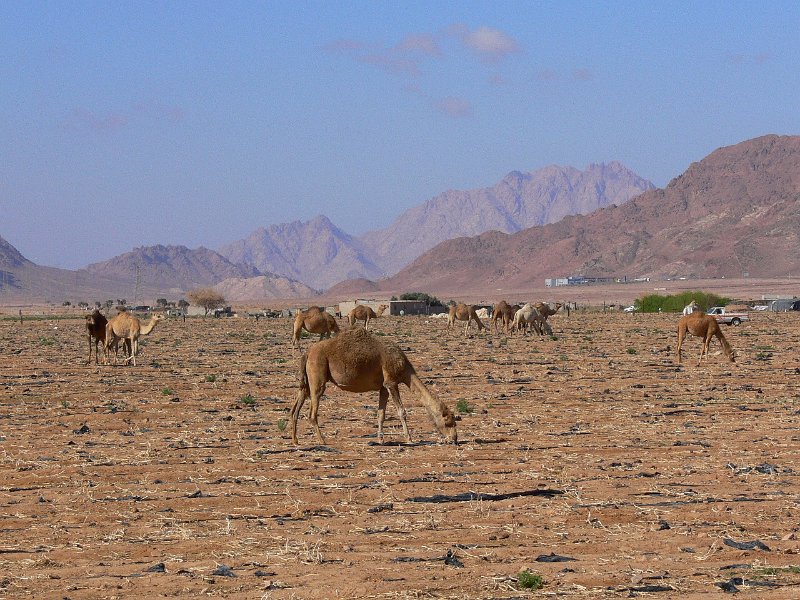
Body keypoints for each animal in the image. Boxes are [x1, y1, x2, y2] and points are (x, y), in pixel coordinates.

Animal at [292, 328, 456, 446]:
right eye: (448, 422)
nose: (454, 439)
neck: (405, 369)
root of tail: (307, 352)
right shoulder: (391, 382)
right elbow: (402, 411)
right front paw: (409, 438)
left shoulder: (383, 387)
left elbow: (380, 414)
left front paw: (380, 439)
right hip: (317, 374)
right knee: (312, 411)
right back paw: (322, 440)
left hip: (307, 380)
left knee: (297, 404)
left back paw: (295, 440)